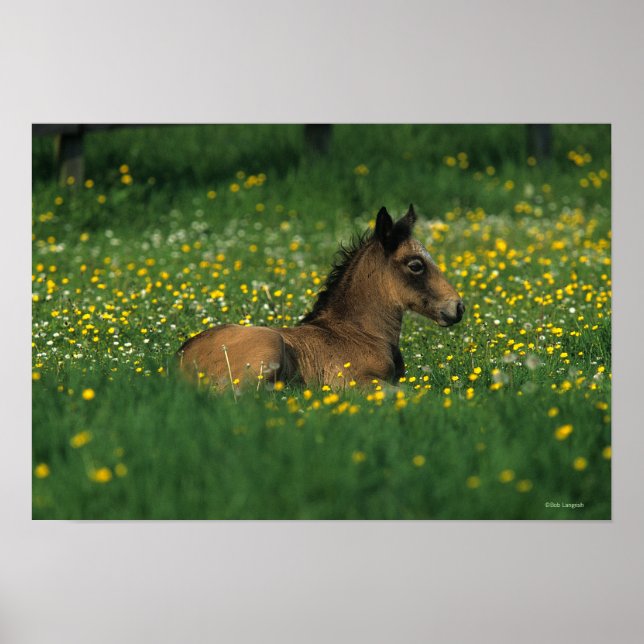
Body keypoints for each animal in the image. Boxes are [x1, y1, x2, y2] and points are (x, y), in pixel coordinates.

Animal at [177, 205, 464, 388]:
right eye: (415, 265)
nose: (458, 307)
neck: (360, 332)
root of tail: (178, 361)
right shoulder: (352, 382)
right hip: (268, 346)